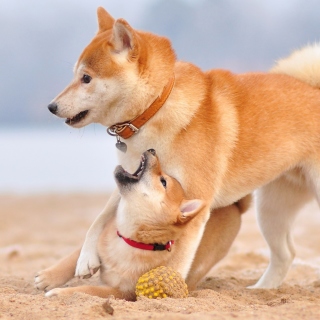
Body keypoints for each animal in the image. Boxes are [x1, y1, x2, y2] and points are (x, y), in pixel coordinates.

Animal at [34, 149, 245, 298]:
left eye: (163, 181)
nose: (152, 150)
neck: (128, 239)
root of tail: (235, 207)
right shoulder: (103, 236)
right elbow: (74, 257)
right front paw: (48, 278)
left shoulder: (123, 292)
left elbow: (91, 291)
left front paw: (60, 293)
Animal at [44, 6, 320, 288]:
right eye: (76, 75)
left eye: (86, 78)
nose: (51, 107)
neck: (155, 108)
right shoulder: (133, 178)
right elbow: (98, 219)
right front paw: (86, 258)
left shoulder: (193, 202)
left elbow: (180, 257)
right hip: (271, 210)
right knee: (286, 254)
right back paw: (261, 289)